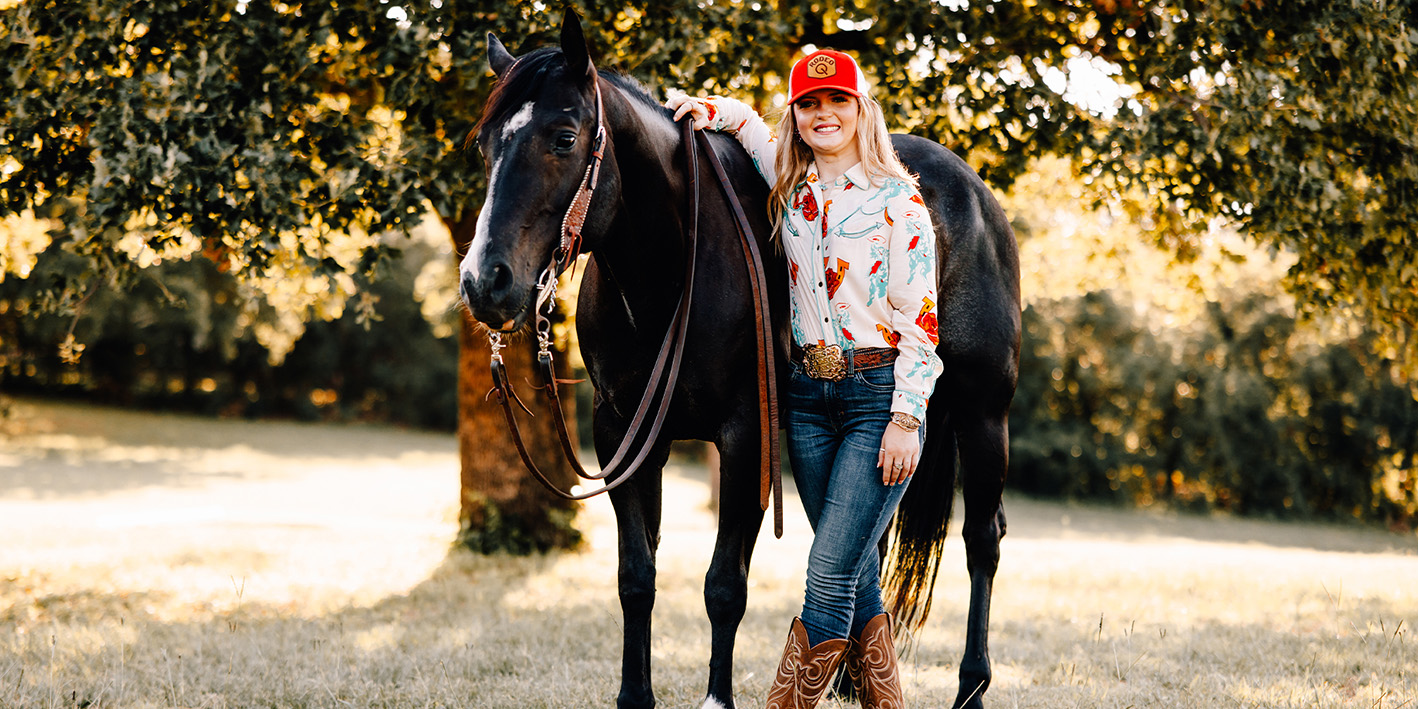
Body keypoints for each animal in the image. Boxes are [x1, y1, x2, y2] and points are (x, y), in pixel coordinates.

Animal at [459, 11, 1026, 709]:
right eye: (485, 146)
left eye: (564, 138)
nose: (485, 282)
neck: (674, 269)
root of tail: (972, 191)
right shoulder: (622, 434)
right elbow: (636, 577)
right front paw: (635, 696)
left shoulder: (747, 437)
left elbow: (724, 586)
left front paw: (717, 696)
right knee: (860, 553)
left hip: (983, 415)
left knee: (982, 542)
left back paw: (971, 684)